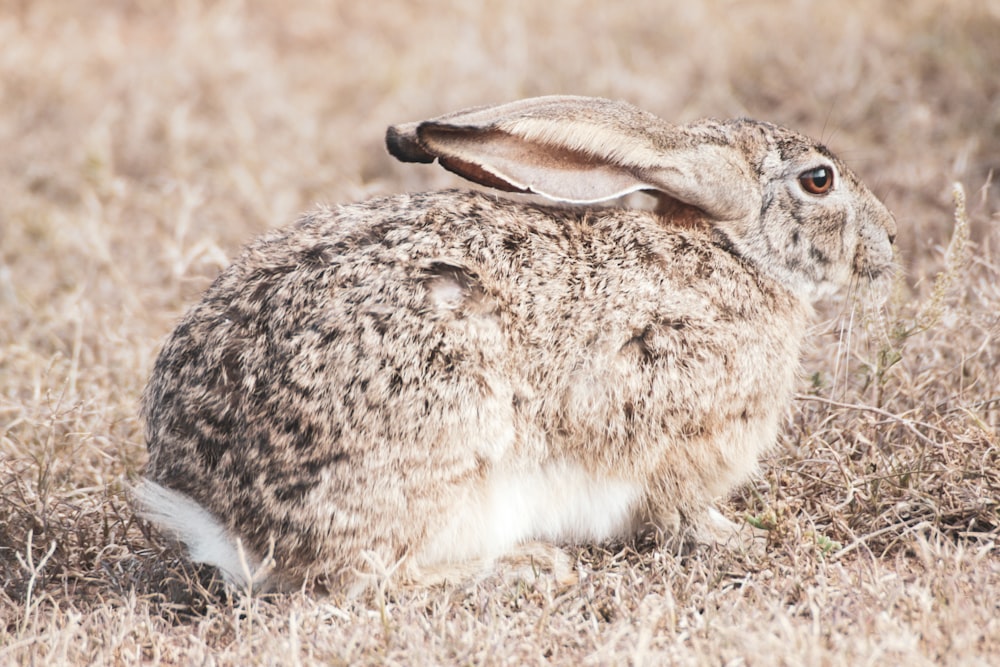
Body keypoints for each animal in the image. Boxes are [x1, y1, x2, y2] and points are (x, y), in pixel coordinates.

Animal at [135, 95, 900, 596]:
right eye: (820, 180)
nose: (889, 241)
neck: (732, 250)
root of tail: (225, 516)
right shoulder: (678, 443)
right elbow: (680, 511)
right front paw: (741, 535)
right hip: (445, 442)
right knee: (363, 577)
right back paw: (526, 566)